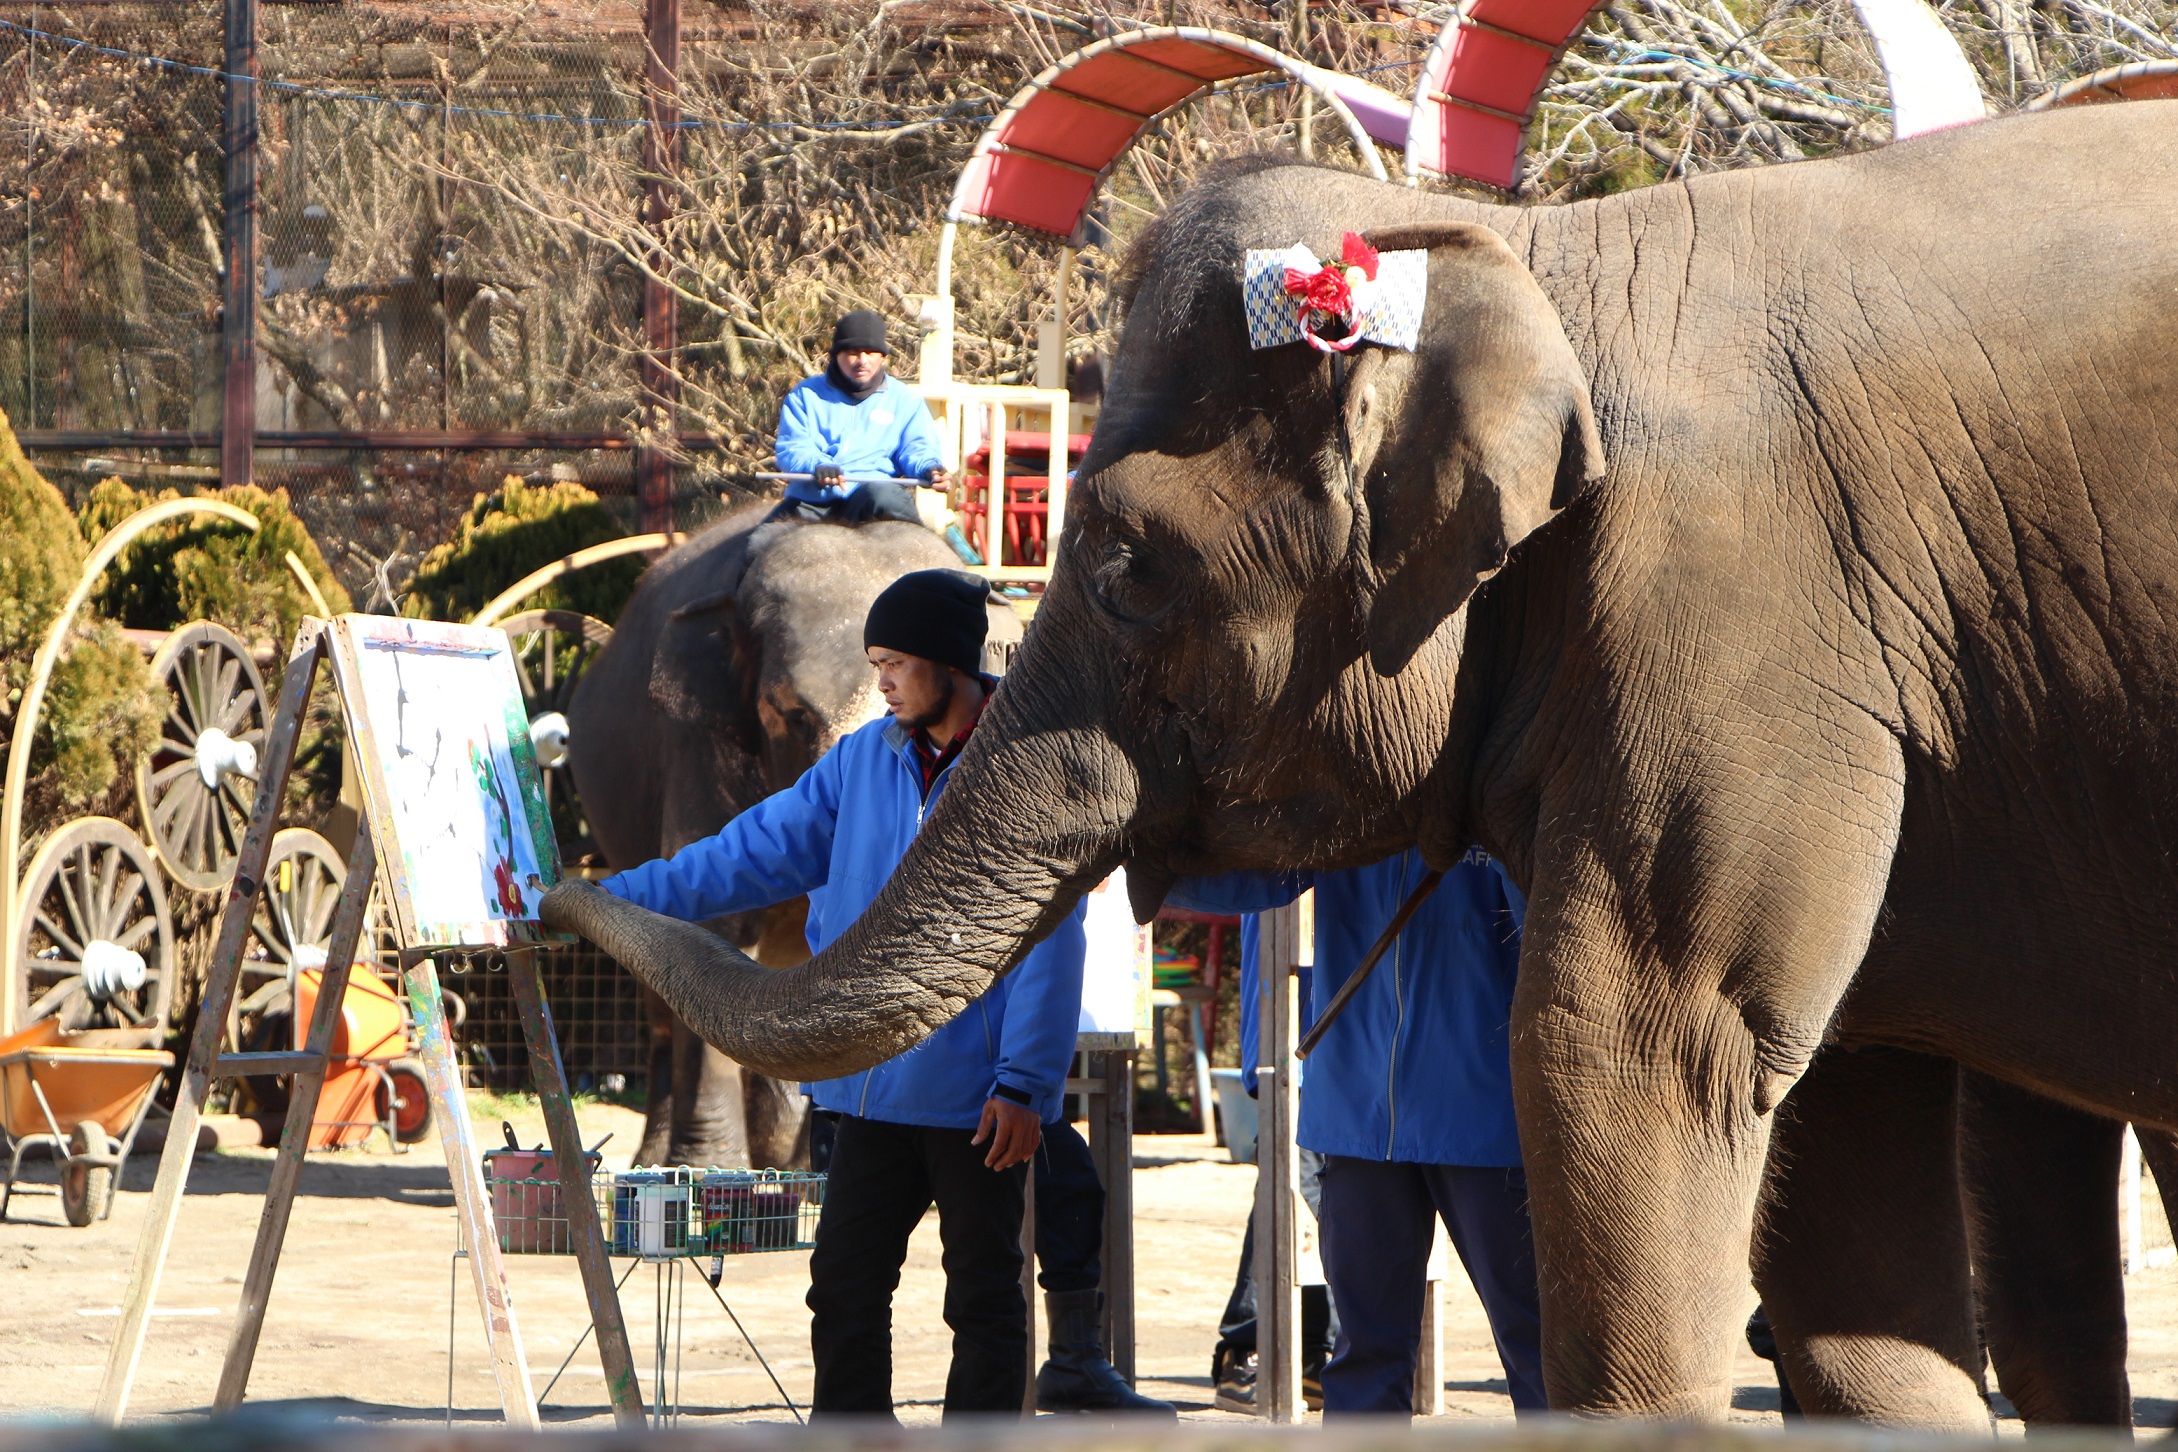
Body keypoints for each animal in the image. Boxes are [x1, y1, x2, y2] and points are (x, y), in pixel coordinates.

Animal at [553, 107, 2178, 1428]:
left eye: (1127, 568)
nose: (546, 891)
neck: (1528, 258)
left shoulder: (1744, 617)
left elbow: (1637, 1046)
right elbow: (1839, 1113)